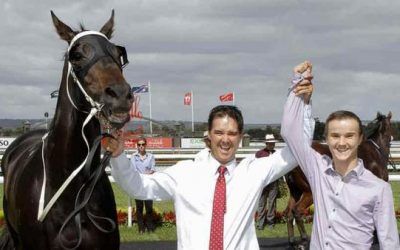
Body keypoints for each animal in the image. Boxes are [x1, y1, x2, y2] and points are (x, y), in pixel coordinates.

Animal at [284, 112, 394, 250]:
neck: (376, 151)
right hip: (308, 192)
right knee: (297, 211)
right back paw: (304, 240)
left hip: (295, 191)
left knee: (289, 213)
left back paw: (292, 241)